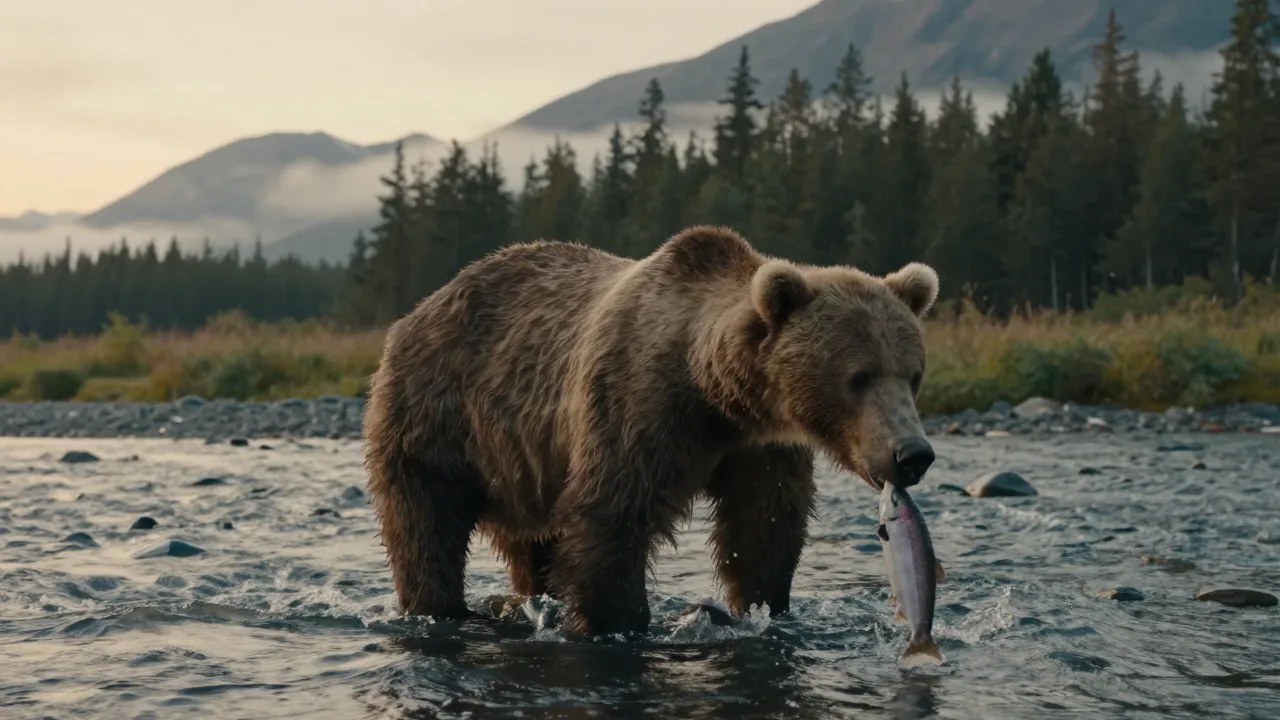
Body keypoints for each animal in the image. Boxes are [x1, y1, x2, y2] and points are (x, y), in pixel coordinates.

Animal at [362, 225, 940, 638]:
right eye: (858, 377)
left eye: (913, 374)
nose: (912, 454)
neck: (719, 394)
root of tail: (420, 308)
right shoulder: (639, 405)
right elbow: (611, 515)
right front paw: (616, 622)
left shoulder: (762, 448)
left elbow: (764, 527)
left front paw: (761, 605)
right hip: (438, 419)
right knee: (425, 527)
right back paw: (442, 609)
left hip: (521, 466)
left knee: (533, 544)